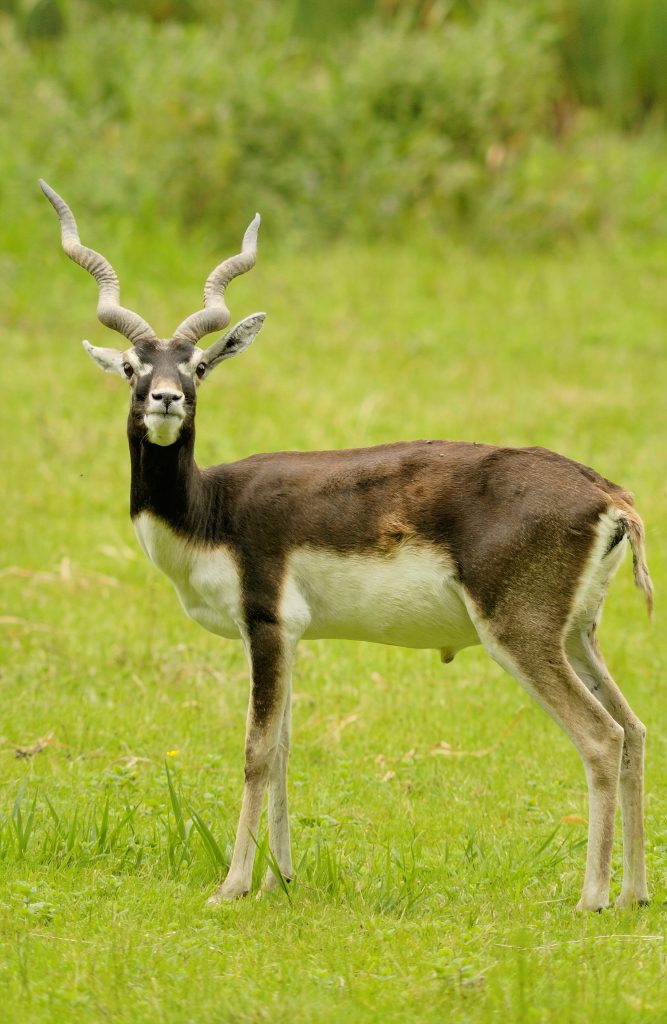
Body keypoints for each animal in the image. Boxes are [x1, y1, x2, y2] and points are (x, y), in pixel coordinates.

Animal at [41, 180, 651, 909]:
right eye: (133, 366)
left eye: (197, 367)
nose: (165, 399)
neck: (211, 506)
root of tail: (606, 494)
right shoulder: (286, 636)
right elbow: (281, 750)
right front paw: (281, 878)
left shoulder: (265, 624)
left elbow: (254, 751)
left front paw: (232, 886)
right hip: (577, 634)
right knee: (634, 731)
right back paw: (634, 894)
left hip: (521, 634)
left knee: (601, 737)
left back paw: (591, 898)